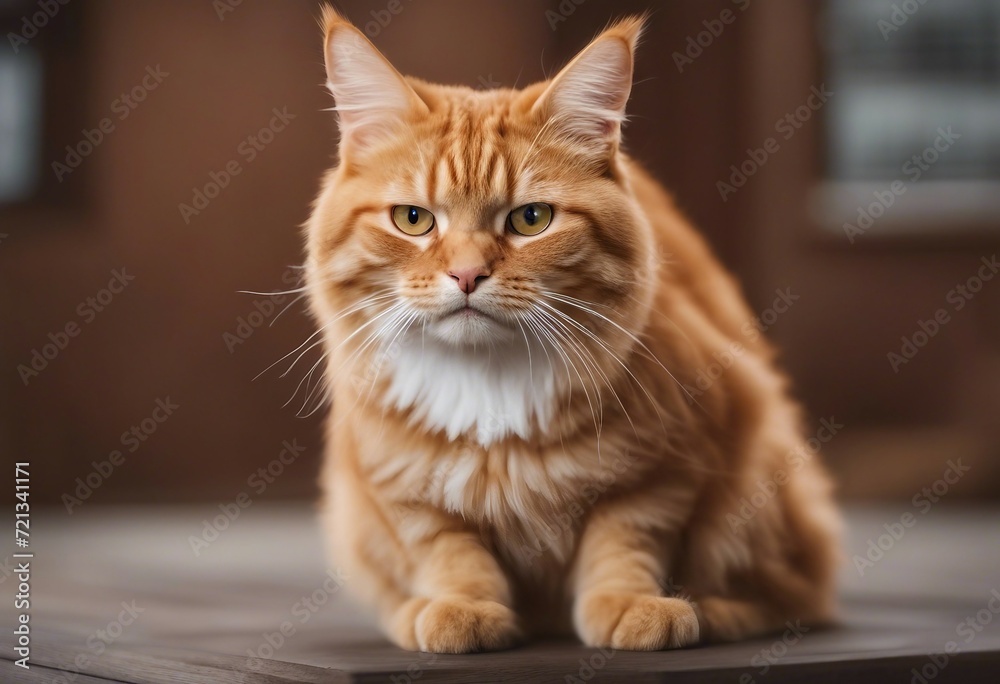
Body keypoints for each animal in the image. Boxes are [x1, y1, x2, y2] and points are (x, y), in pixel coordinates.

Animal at [308, 8, 840, 656]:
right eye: (413, 220)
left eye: (531, 219)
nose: (467, 274)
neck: (489, 387)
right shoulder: (399, 491)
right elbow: (449, 553)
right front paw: (459, 608)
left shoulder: (663, 471)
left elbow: (623, 542)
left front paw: (633, 607)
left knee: (786, 596)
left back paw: (710, 611)